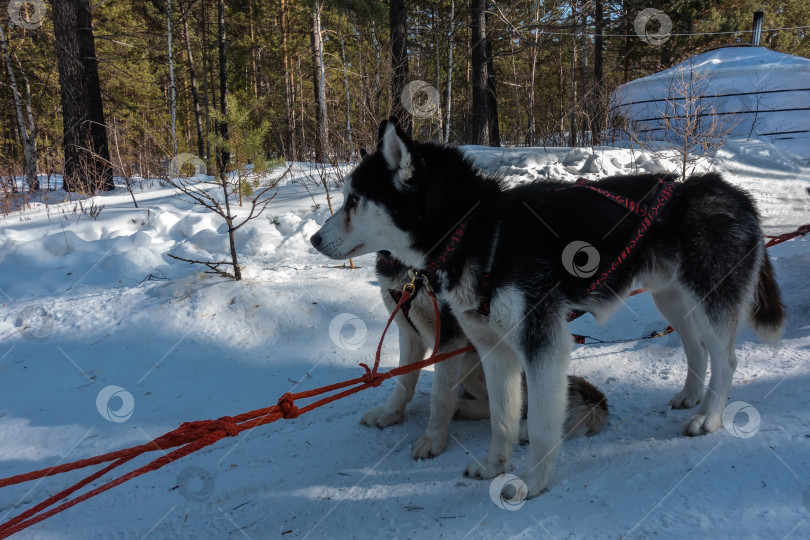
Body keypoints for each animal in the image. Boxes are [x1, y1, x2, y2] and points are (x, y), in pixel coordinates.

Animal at [310, 120, 784, 500]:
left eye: (354, 200)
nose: (314, 239)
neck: (480, 230)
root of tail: (733, 192)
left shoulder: (541, 345)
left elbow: (537, 423)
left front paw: (530, 484)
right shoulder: (494, 349)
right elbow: (502, 417)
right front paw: (495, 467)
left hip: (709, 301)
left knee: (726, 359)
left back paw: (710, 417)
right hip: (673, 300)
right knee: (695, 349)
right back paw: (691, 397)